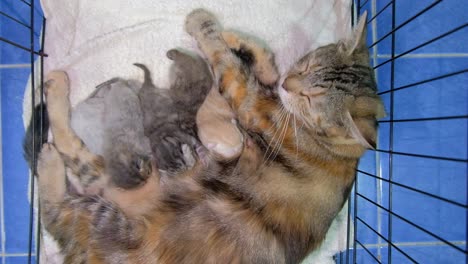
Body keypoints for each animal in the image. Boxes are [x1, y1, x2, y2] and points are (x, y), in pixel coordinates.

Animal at [38, 8, 384, 264]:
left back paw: (49, 140)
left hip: (105, 220)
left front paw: (203, 26)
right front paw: (232, 37)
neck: (330, 144)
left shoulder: (251, 102)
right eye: (307, 64)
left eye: (312, 98)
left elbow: (227, 62)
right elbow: (264, 61)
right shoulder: (265, 90)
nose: (290, 85)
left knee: (55, 205)